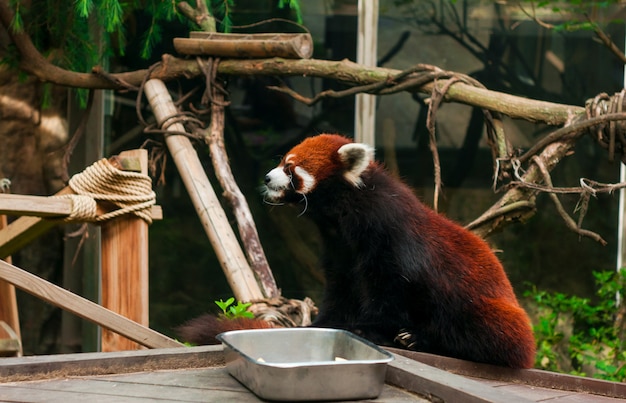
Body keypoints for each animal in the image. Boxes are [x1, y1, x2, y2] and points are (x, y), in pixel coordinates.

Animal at [178, 135, 532, 370]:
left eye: (291, 169)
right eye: (281, 162)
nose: (267, 177)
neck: (343, 218)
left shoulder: (393, 241)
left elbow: (389, 292)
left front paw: (366, 330)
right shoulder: (340, 250)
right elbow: (342, 290)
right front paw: (322, 324)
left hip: (488, 308)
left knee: (478, 329)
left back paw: (420, 339)